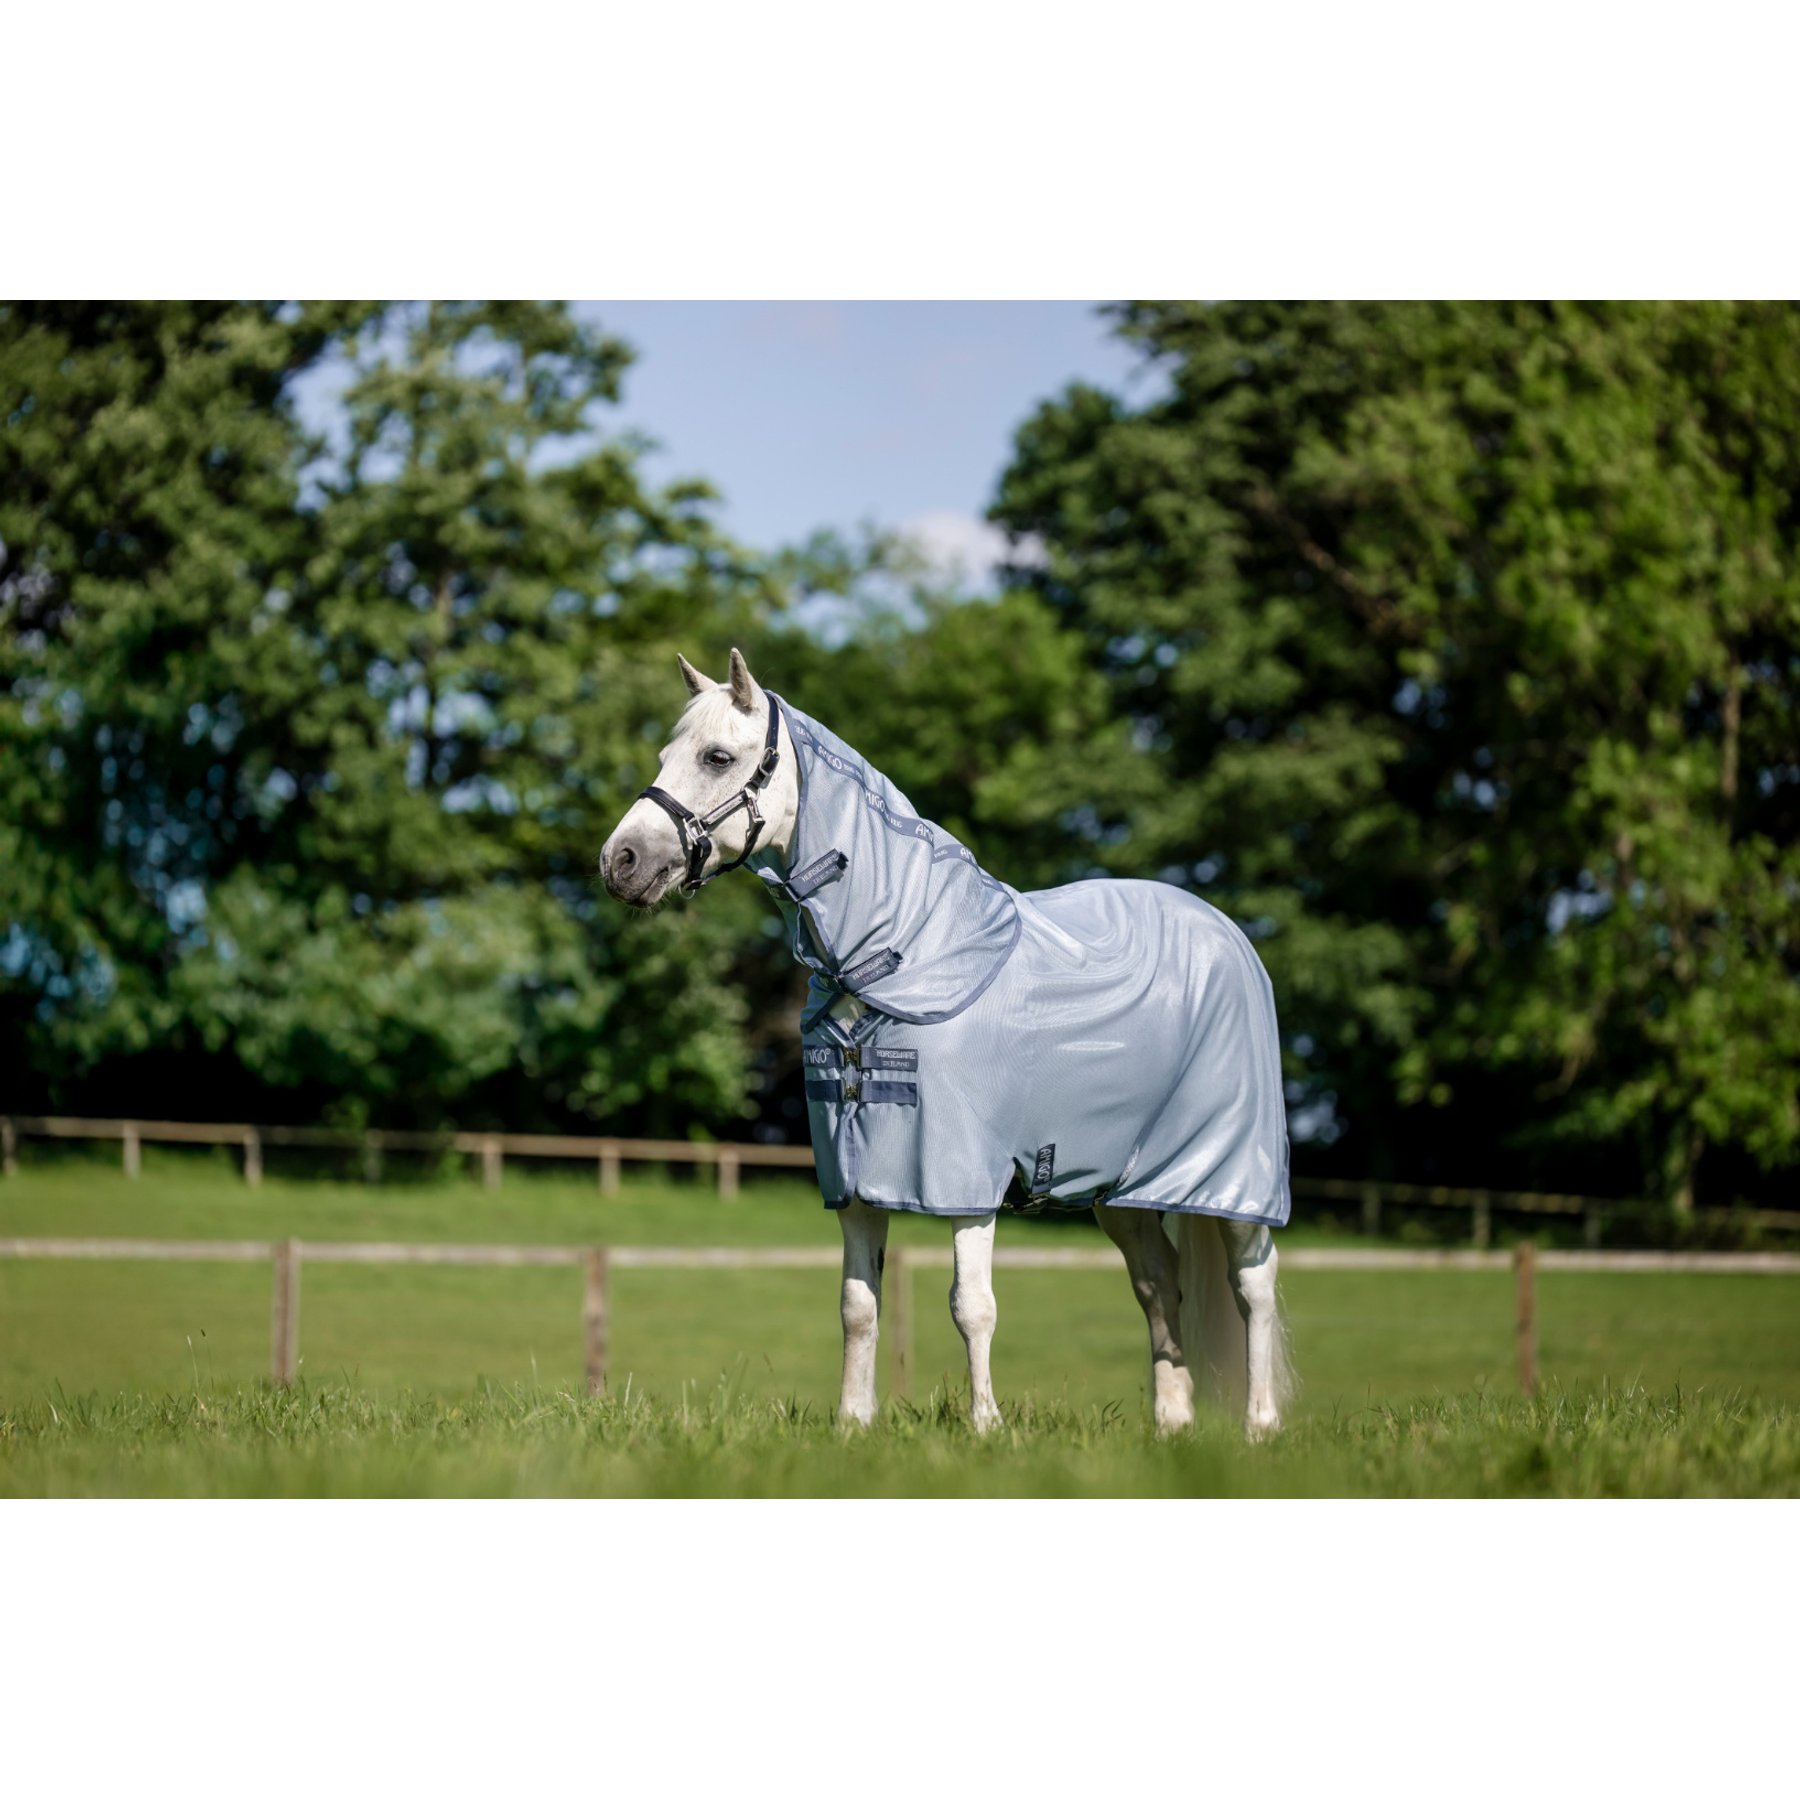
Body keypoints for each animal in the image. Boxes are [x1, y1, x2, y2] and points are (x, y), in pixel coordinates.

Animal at [600, 648, 1295, 1438]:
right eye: (666, 755)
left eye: (718, 756)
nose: (619, 861)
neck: (906, 951)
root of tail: (1226, 932)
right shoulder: (854, 1181)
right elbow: (858, 1307)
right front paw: (852, 1424)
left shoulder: (965, 1180)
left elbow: (973, 1307)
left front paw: (985, 1427)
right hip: (1122, 1191)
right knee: (1159, 1287)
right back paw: (1172, 1425)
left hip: (1234, 1177)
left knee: (1254, 1286)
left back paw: (1260, 1427)